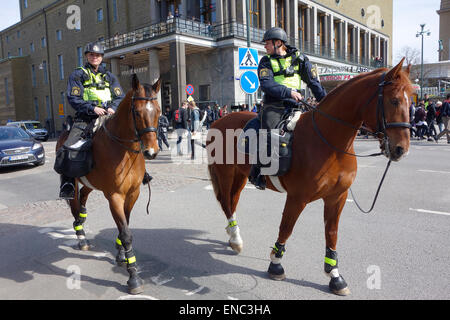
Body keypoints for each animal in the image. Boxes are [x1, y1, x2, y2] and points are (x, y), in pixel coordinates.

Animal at [56, 75, 161, 296]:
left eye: (158, 111)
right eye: (137, 112)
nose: (151, 152)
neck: (124, 150)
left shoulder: (133, 194)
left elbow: (125, 225)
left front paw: (121, 256)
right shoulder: (114, 197)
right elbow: (126, 233)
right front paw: (133, 277)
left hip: (89, 183)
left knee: (83, 199)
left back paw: (82, 220)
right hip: (73, 181)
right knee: (74, 205)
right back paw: (81, 236)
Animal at [206, 58, 414, 296]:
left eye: (410, 99)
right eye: (394, 100)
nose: (401, 149)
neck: (328, 140)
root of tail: (218, 121)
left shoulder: (337, 197)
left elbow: (331, 233)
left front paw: (335, 276)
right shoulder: (297, 198)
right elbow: (286, 228)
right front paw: (275, 264)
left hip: (240, 176)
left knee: (232, 201)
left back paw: (234, 237)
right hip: (225, 173)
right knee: (226, 203)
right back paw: (235, 238)